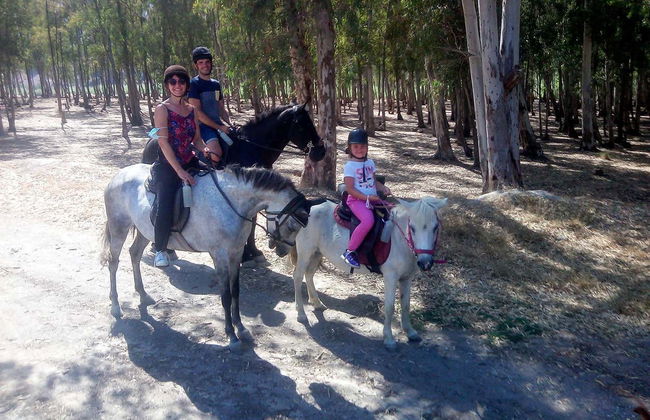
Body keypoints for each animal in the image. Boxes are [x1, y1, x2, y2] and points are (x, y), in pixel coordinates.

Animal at [101, 164, 313, 351]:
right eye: (292, 226)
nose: (282, 251)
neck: (232, 204)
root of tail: (117, 177)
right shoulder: (220, 256)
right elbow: (225, 296)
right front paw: (231, 336)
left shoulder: (236, 254)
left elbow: (236, 291)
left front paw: (241, 328)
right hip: (119, 227)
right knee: (113, 262)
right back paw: (116, 306)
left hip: (145, 231)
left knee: (134, 254)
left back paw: (143, 294)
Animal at [142, 103, 325, 262]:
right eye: (301, 125)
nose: (320, 151)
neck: (251, 147)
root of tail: (152, 140)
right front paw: (247, 254)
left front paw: (253, 252)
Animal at [290, 197, 447, 350]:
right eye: (412, 228)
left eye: (435, 227)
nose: (425, 263)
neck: (398, 240)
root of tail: (309, 207)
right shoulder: (390, 277)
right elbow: (389, 307)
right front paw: (389, 339)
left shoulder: (407, 278)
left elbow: (406, 304)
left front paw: (410, 332)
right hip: (305, 252)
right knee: (297, 277)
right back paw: (301, 313)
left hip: (316, 253)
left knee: (309, 275)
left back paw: (317, 303)